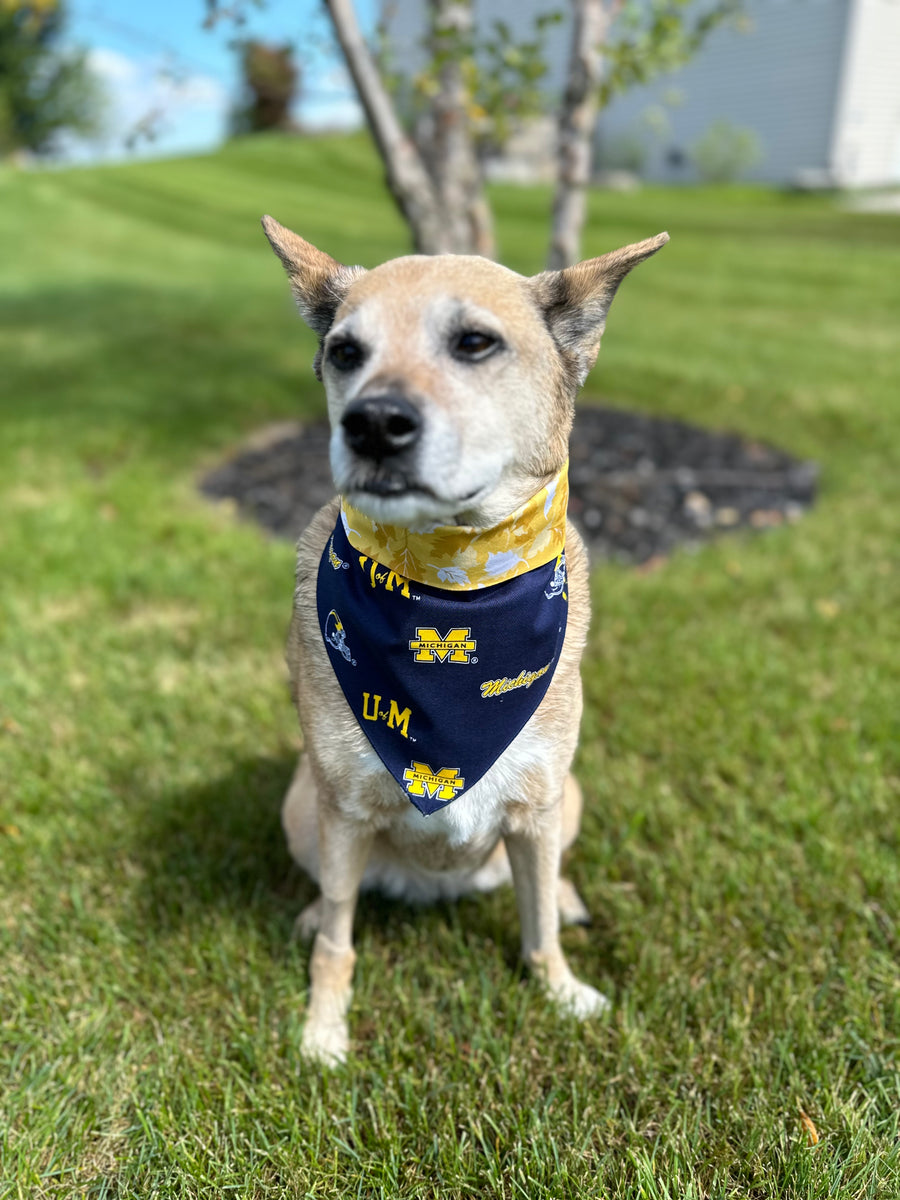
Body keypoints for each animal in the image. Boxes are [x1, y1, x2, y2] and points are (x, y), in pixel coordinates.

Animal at [260, 213, 672, 1060]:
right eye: (345, 351)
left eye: (474, 343)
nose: (373, 424)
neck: (449, 583)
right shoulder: (343, 810)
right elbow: (340, 942)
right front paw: (323, 1027)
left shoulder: (540, 805)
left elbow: (539, 925)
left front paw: (561, 991)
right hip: (300, 803)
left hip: (571, 798)